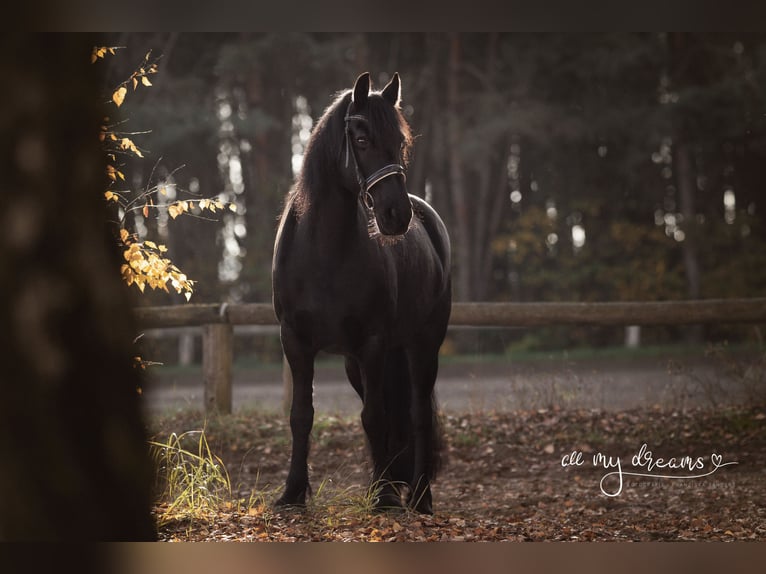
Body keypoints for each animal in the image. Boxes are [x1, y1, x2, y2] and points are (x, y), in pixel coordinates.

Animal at [272, 72, 450, 516]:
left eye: (400, 142)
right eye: (363, 139)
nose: (396, 216)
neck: (324, 252)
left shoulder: (373, 341)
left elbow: (374, 417)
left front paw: (384, 497)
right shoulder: (295, 341)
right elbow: (301, 415)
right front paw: (292, 493)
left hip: (423, 345)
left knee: (417, 414)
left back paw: (419, 496)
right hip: (362, 362)